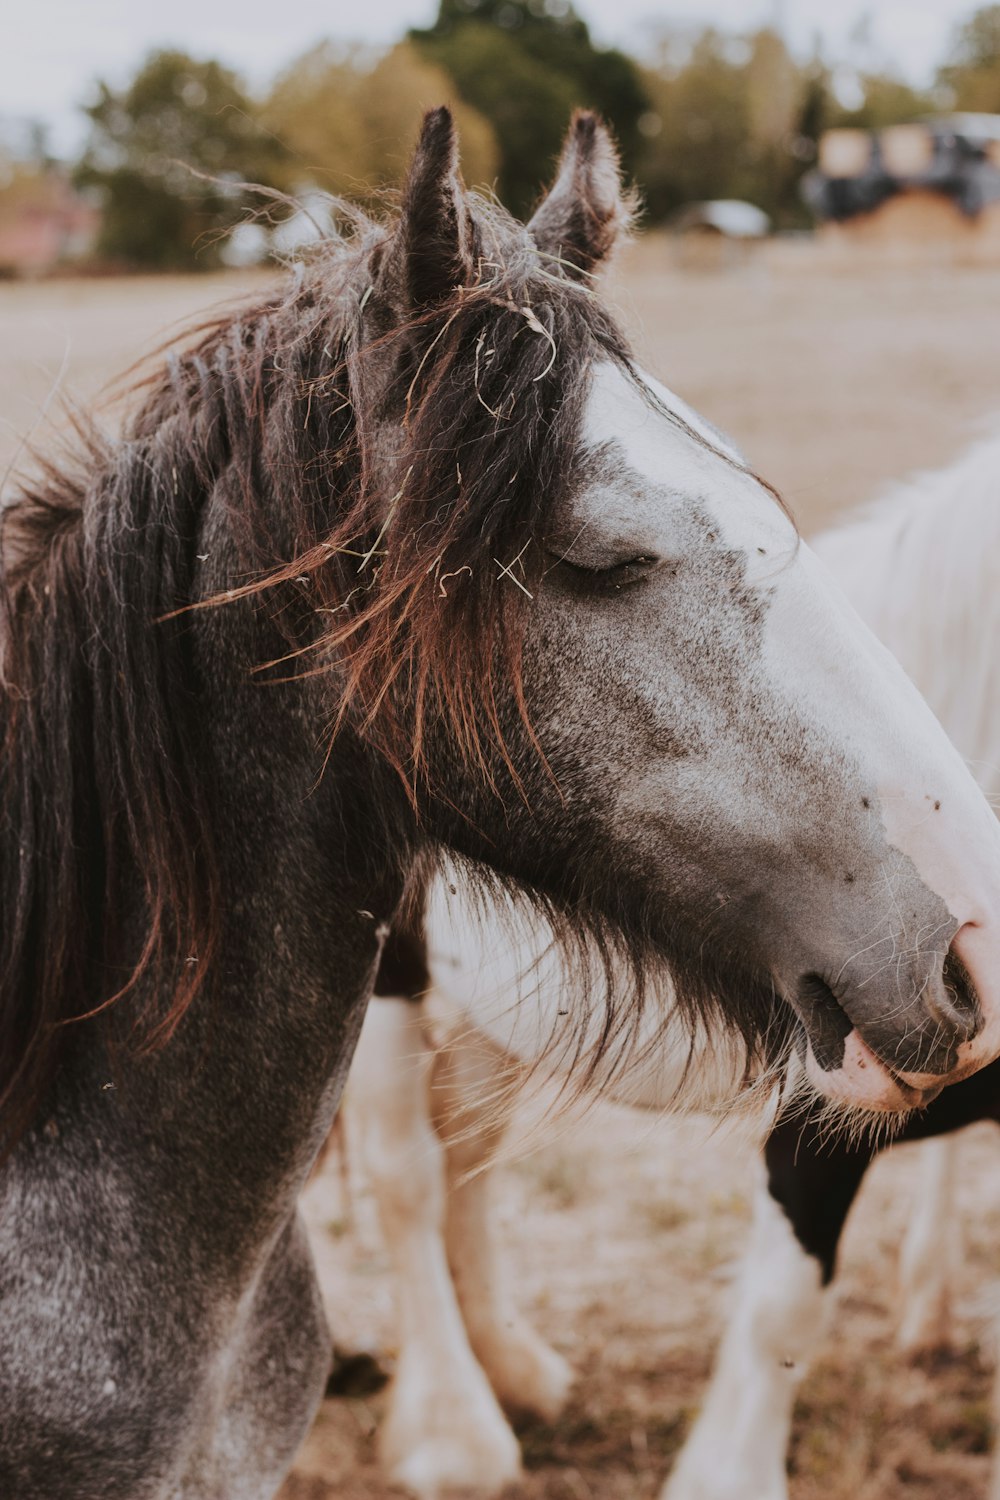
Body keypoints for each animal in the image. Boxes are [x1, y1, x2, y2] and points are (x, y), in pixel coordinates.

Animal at [338, 426, 1000, 1500]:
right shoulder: (824, 1096)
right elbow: (783, 1307)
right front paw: (726, 1473)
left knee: (466, 1152)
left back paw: (510, 1366)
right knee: (408, 1172)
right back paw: (453, 1431)